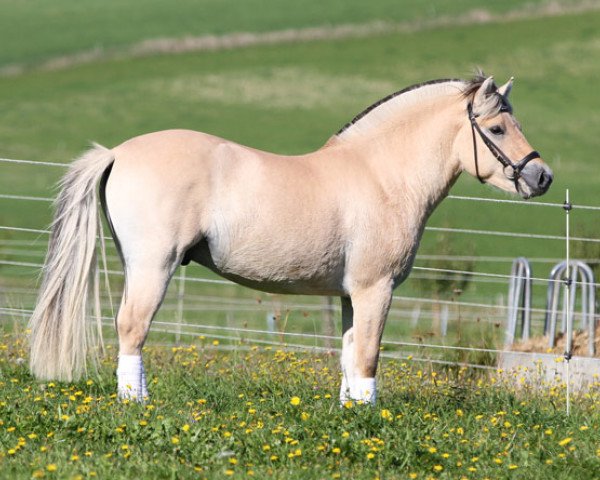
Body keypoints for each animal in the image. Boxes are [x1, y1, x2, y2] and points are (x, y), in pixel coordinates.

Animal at [28, 75, 552, 404]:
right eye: (497, 127)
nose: (542, 176)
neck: (381, 175)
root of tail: (117, 152)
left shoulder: (350, 294)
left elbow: (348, 353)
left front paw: (350, 414)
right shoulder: (375, 289)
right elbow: (368, 356)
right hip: (153, 267)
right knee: (132, 329)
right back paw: (136, 404)